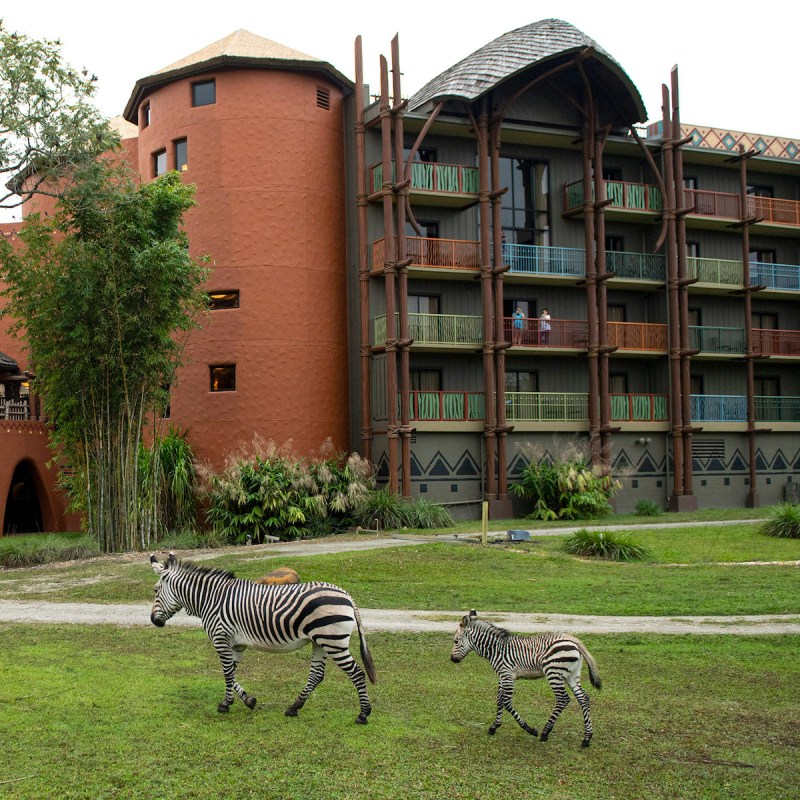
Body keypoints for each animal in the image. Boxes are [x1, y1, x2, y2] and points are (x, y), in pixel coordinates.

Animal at [152, 552, 376, 720]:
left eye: (155, 590)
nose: (154, 621)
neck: (211, 599)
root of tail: (347, 595)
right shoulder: (237, 644)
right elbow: (231, 672)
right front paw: (247, 700)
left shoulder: (221, 638)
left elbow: (226, 672)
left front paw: (226, 704)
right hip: (319, 642)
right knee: (316, 675)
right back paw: (294, 707)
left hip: (333, 642)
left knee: (356, 673)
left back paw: (363, 714)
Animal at [450, 608, 600, 748]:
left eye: (456, 641)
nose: (452, 659)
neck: (496, 649)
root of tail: (574, 642)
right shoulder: (502, 676)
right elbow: (499, 699)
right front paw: (494, 726)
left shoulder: (507, 676)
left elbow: (506, 702)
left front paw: (529, 729)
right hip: (572, 674)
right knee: (583, 698)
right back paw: (587, 738)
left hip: (553, 672)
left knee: (563, 699)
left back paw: (545, 732)